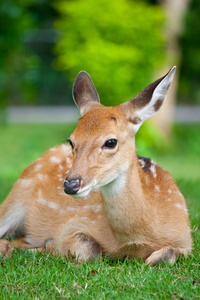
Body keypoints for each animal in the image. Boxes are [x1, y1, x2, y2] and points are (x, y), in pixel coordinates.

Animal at [0, 67, 192, 264]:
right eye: (71, 141)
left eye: (111, 142)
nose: (70, 185)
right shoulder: (70, 226)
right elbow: (90, 250)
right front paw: (52, 246)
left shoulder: (186, 240)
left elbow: (164, 256)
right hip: (15, 197)